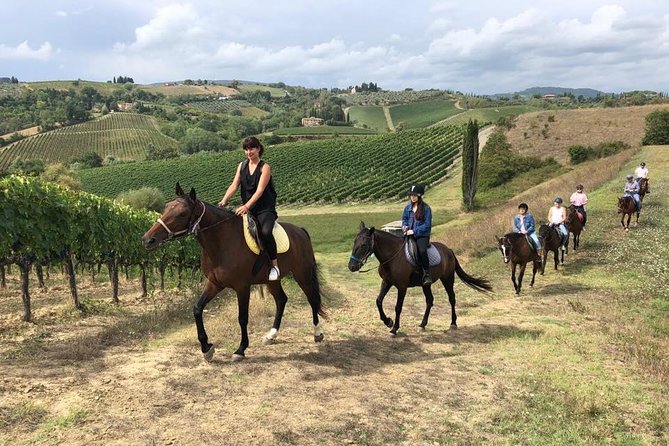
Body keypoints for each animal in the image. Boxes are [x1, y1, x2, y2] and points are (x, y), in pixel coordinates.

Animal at [142, 185, 324, 362]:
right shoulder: (214, 284)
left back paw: (317, 333)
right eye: (166, 208)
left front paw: (240, 350)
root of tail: (300, 231)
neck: (222, 242)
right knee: (281, 299)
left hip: (302, 274)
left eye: (182, 214)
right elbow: (197, 309)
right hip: (272, 280)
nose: (148, 240)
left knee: (312, 299)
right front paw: (206, 348)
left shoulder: (242, 287)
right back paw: (271, 335)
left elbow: (242, 317)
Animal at [348, 222, 494, 334]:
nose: (351, 266)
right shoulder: (386, 282)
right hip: (426, 284)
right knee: (430, 301)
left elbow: (398, 307)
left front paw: (394, 328)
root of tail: (449, 250)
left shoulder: (402, 287)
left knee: (452, 298)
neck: (393, 256)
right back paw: (423, 324)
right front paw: (388, 321)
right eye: (354, 242)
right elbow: (378, 301)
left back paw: (453, 323)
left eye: (364, 245)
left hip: (447, 278)